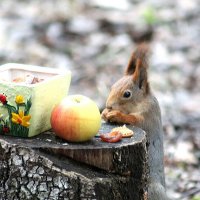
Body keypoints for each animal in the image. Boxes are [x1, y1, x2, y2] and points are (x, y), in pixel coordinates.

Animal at [102, 44, 170, 199]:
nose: (109, 105)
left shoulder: (148, 116)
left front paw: (116, 115)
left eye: (127, 94)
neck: (140, 102)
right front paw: (104, 113)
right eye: (112, 86)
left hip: (152, 189)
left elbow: (134, 120)